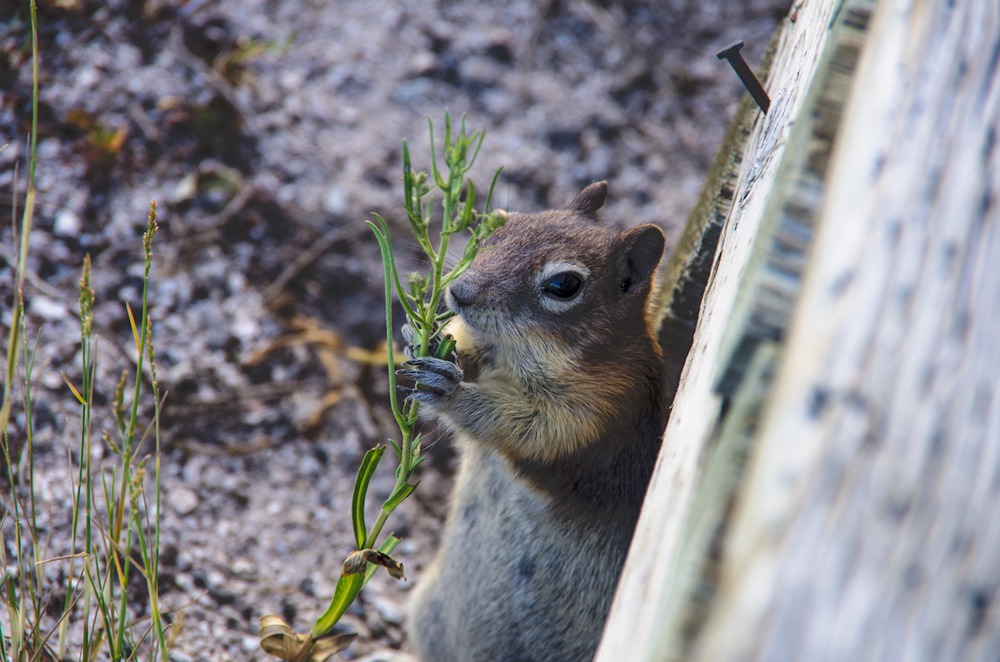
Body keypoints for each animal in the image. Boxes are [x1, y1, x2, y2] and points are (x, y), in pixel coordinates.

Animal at [400, 183, 672, 662]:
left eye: (564, 285)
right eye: (500, 229)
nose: (458, 291)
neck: (516, 353)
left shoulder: (597, 410)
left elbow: (529, 427)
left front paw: (449, 390)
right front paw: (423, 336)